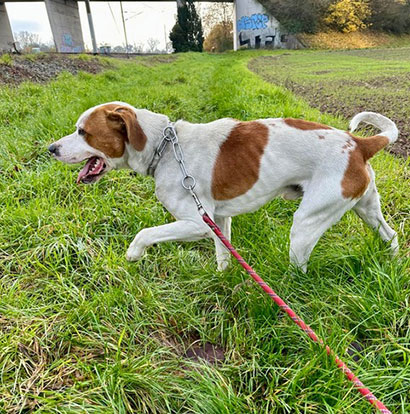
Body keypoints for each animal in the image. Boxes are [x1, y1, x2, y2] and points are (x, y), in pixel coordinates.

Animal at [48, 102, 398, 272]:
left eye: (83, 132)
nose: (51, 148)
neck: (165, 147)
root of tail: (359, 143)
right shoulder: (218, 220)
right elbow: (222, 255)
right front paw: (223, 279)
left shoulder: (197, 223)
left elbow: (146, 233)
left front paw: (133, 254)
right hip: (366, 209)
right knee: (391, 235)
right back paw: (393, 261)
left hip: (306, 224)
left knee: (299, 267)